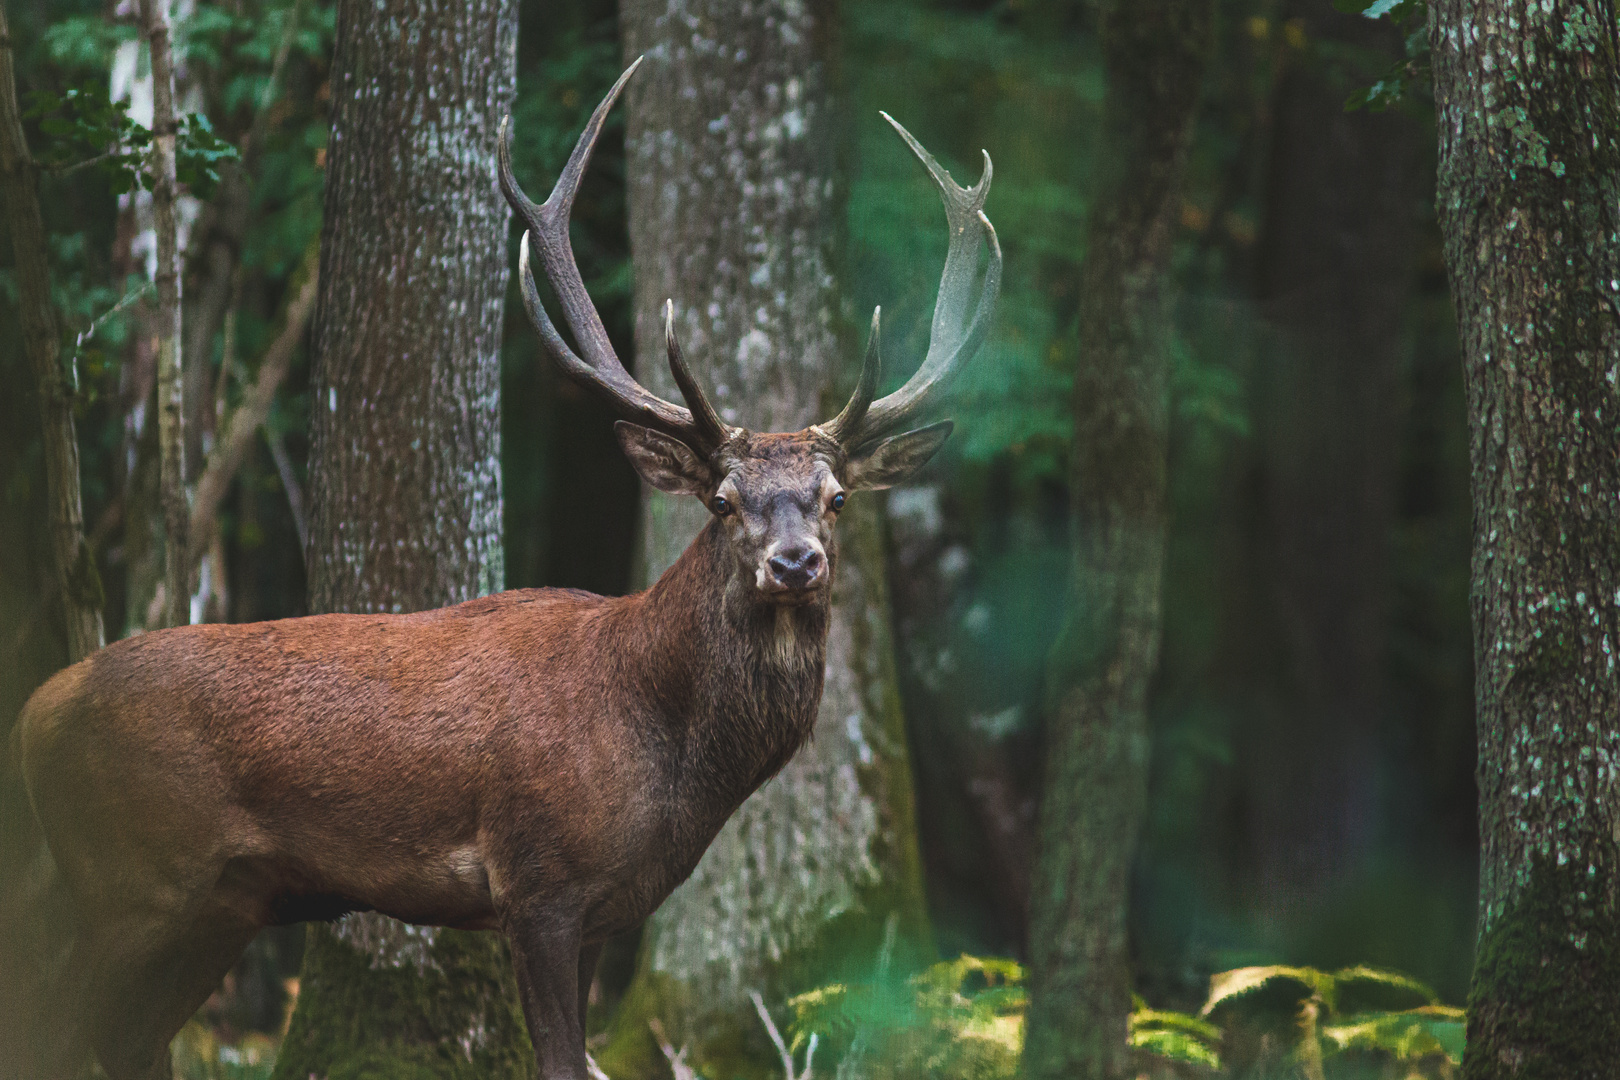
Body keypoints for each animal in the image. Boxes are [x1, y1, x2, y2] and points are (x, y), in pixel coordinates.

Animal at [6, 57, 999, 1080]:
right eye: (723, 502)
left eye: (836, 498)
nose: (795, 564)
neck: (668, 760)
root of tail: (33, 715)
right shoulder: (538, 883)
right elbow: (559, 1060)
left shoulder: (608, 909)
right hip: (129, 882)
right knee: (51, 1025)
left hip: (214, 905)